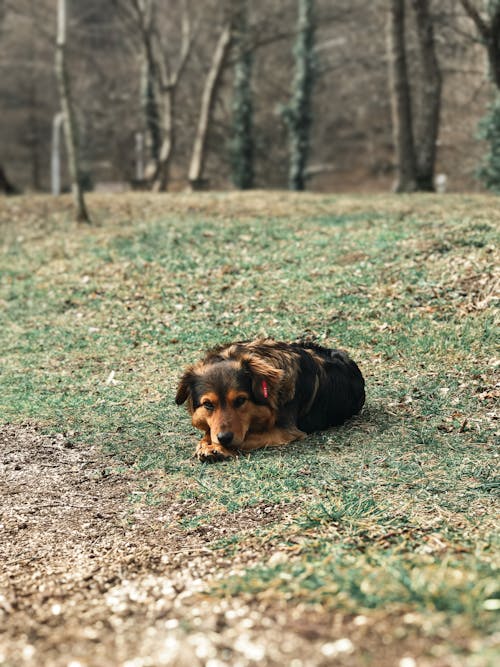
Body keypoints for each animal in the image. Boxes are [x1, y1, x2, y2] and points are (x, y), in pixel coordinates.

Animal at [175, 342, 364, 462]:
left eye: (240, 400)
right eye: (208, 404)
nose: (224, 438)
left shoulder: (287, 431)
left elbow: (245, 439)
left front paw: (217, 448)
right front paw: (206, 443)